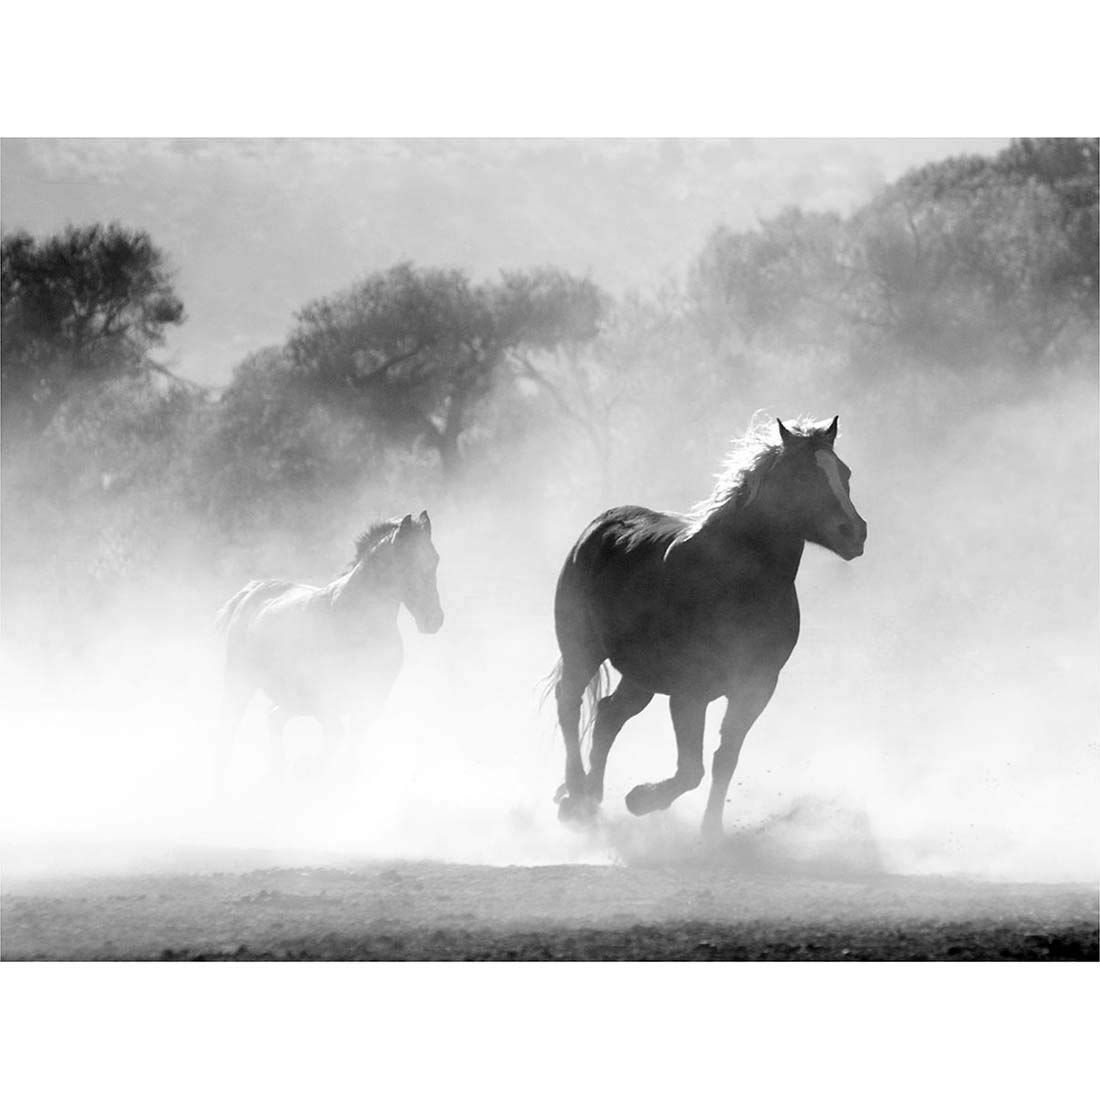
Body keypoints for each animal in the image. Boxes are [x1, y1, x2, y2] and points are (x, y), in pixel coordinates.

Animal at [214, 511, 443, 783]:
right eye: (406, 562)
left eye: (435, 559)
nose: (434, 620)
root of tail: (250, 591)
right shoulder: (326, 702)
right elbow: (335, 744)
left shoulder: (370, 701)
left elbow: (350, 751)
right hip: (240, 683)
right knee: (228, 732)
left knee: (273, 718)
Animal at [549, 414, 866, 838]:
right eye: (803, 476)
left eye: (844, 473)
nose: (855, 532)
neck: (737, 582)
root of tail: (599, 527)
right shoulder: (690, 692)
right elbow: (691, 770)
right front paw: (641, 799)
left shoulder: (755, 688)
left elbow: (724, 759)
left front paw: (710, 832)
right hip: (582, 651)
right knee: (570, 704)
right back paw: (576, 797)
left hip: (641, 676)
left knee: (608, 715)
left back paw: (591, 798)